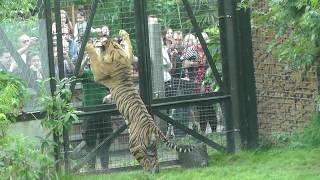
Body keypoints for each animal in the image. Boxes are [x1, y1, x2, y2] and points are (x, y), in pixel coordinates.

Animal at [85, 29, 194, 173]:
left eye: (99, 39)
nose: (95, 39)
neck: (114, 49)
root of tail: (153, 127)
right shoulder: (128, 57)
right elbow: (129, 47)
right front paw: (124, 33)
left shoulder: (99, 73)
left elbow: (94, 59)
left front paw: (88, 45)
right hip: (151, 147)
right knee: (155, 162)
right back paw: (156, 173)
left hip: (135, 146)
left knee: (147, 163)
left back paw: (145, 174)